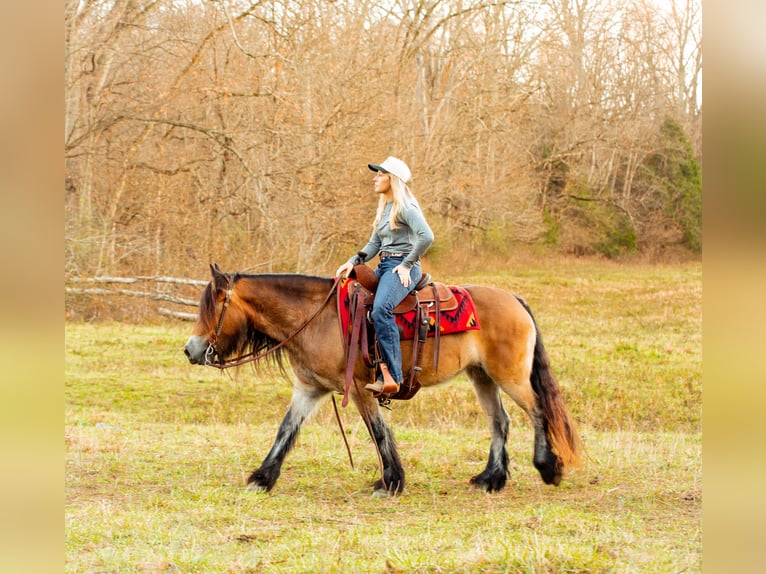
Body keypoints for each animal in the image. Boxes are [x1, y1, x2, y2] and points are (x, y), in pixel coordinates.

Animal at [184, 263, 581, 496]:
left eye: (213, 309)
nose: (190, 349)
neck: (318, 318)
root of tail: (515, 299)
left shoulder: (361, 388)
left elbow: (377, 431)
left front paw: (390, 481)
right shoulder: (310, 389)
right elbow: (286, 430)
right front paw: (262, 477)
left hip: (510, 376)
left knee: (538, 412)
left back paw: (548, 468)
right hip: (481, 376)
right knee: (500, 421)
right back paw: (491, 479)